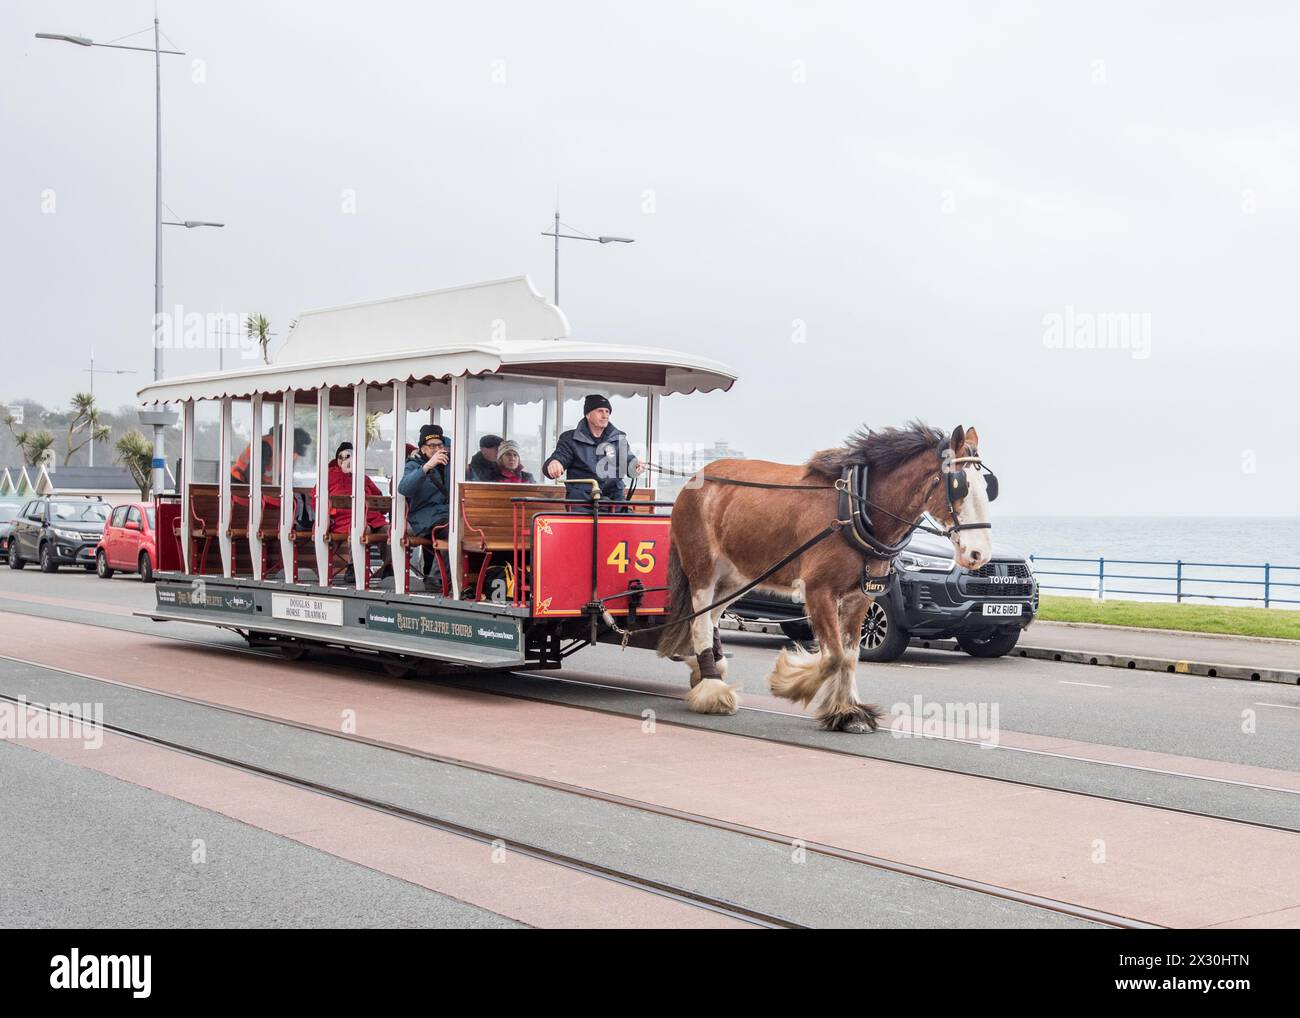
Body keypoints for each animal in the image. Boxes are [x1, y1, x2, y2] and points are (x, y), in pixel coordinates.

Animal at [660, 421, 993, 733]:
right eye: (959, 485)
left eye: (989, 486)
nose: (980, 554)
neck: (856, 508)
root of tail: (696, 477)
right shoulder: (819, 591)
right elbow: (833, 657)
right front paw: (789, 682)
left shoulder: (861, 597)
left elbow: (850, 655)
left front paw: (847, 711)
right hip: (702, 568)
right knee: (700, 623)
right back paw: (713, 690)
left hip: (736, 577)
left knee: (710, 618)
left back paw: (708, 672)